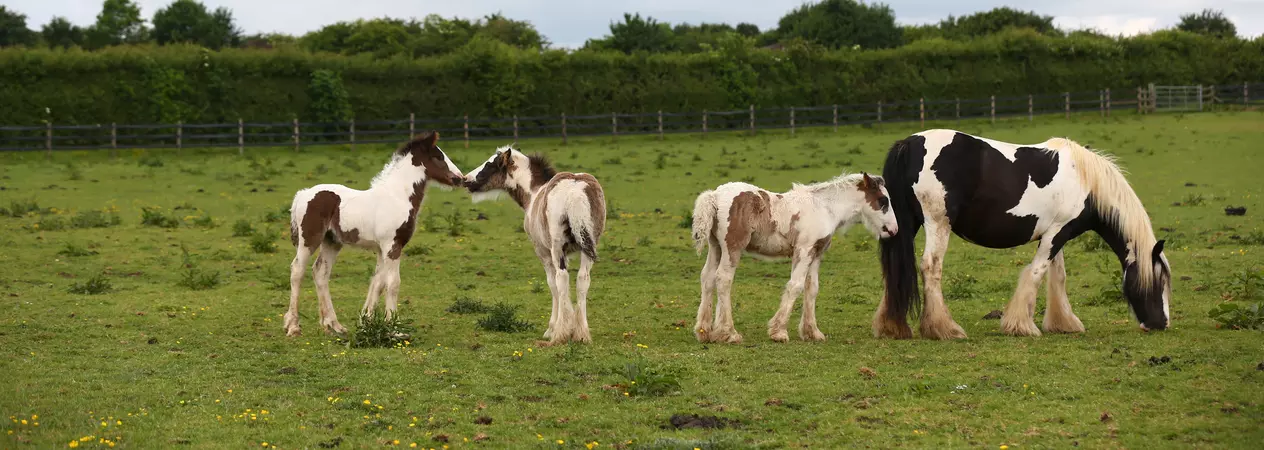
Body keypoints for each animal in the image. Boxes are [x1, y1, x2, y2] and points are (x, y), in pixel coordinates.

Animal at [282, 131, 464, 337]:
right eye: (439, 157)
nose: (461, 178)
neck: (397, 197)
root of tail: (302, 194)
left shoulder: (381, 249)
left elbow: (378, 283)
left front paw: (366, 322)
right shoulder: (392, 246)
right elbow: (393, 283)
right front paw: (394, 328)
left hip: (332, 241)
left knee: (321, 272)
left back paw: (334, 325)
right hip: (309, 239)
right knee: (297, 270)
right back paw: (293, 327)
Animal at [463, 146, 607, 345]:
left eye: (490, 164)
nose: (466, 179)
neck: (533, 194)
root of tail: (575, 192)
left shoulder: (543, 252)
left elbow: (552, 285)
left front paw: (552, 328)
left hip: (557, 248)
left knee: (562, 279)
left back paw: (560, 334)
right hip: (589, 247)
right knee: (583, 279)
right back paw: (582, 334)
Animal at [690, 172, 899, 344]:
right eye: (883, 201)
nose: (894, 230)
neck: (825, 208)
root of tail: (714, 196)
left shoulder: (816, 253)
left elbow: (811, 288)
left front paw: (812, 332)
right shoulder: (803, 250)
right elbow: (795, 286)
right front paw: (779, 332)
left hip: (716, 247)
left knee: (707, 277)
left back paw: (704, 332)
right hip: (732, 247)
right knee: (723, 279)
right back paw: (729, 333)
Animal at [875, 129, 1171, 340]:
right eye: (1158, 282)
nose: (1162, 324)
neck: (1085, 181)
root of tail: (908, 144)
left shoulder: (1056, 233)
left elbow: (1057, 276)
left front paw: (1064, 323)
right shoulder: (1057, 233)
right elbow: (1037, 272)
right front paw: (1021, 325)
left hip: (904, 225)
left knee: (895, 270)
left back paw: (893, 327)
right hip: (938, 224)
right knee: (931, 267)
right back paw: (944, 329)